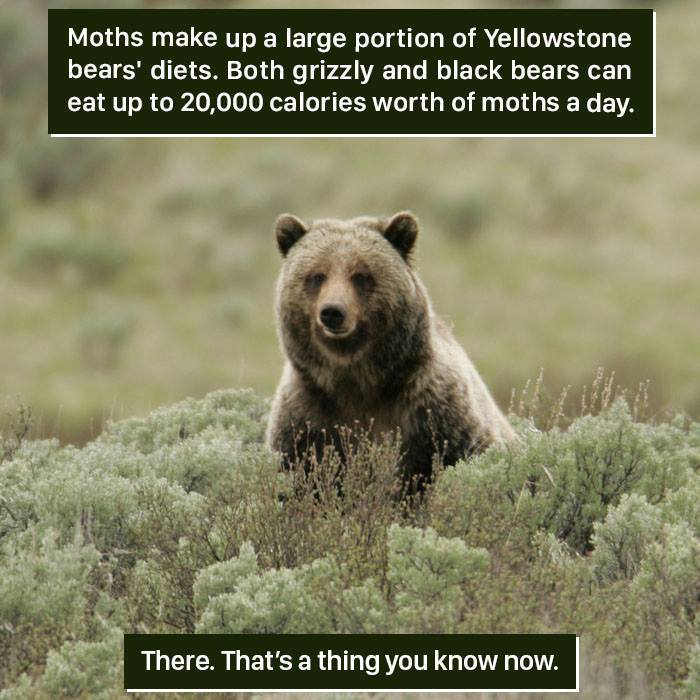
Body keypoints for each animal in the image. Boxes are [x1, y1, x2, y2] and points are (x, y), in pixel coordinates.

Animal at [265, 211, 514, 487]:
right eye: (317, 276)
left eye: (360, 275)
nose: (332, 312)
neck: (357, 380)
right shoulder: (307, 417)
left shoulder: (435, 412)